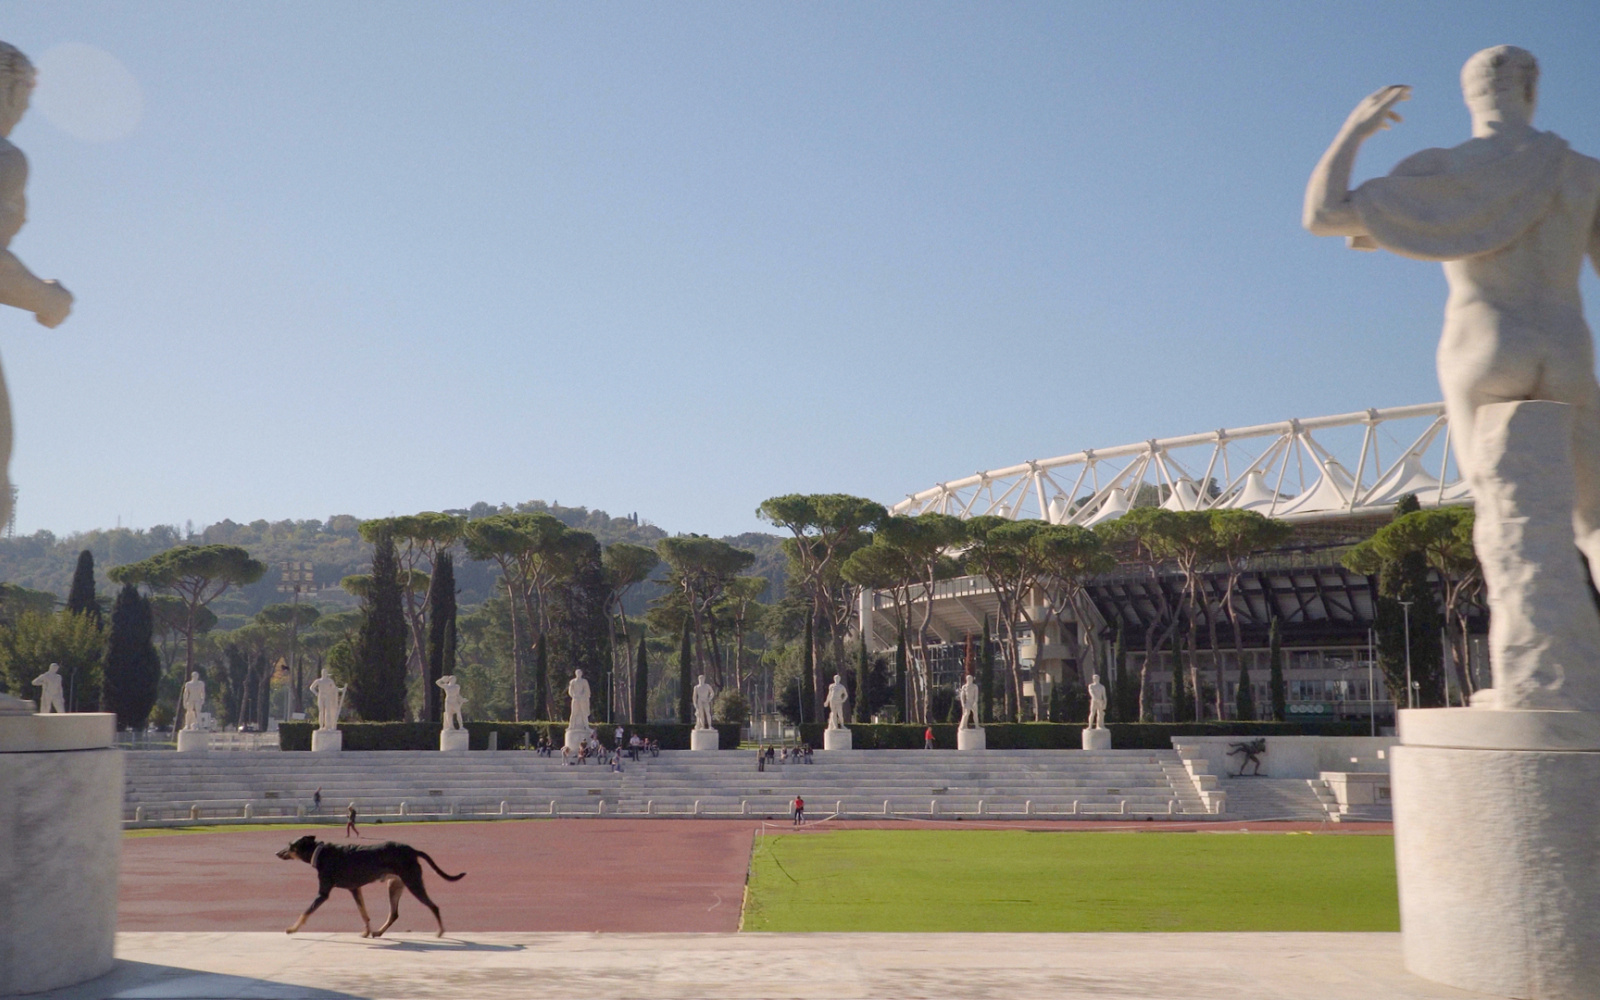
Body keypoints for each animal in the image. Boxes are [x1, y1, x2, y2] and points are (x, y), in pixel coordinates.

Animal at [273, 832, 464, 934]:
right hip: (394, 886)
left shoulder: (323, 893)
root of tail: (412, 850)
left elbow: (305, 912)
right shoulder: (355, 889)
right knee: (394, 914)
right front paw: (366, 932)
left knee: (434, 906)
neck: (320, 852)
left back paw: (440, 932)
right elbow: (363, 912)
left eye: (291, 846)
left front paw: (292, 929)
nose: (277, 853)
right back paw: (378, 932)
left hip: (413, 883)